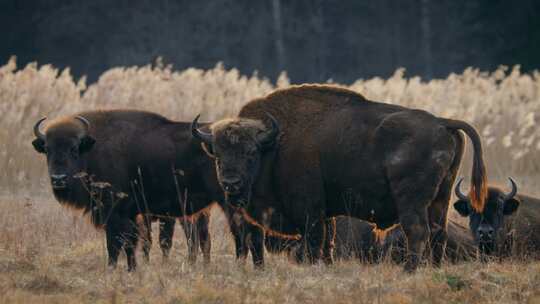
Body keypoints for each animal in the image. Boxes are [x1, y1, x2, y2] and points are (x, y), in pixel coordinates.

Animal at [192, 84, 488, 272]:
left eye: (251, 153)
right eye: (217, 155)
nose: (231, 184)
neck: (275, 144)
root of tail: (442, 122)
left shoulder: (310, 210)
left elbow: (315, 241)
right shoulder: (325, 213)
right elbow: (327, 242)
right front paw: (327, 265)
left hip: (411, 200)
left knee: (417, 231)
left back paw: (409, 270)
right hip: (441, 196)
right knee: (438, 232)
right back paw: (433, 268)